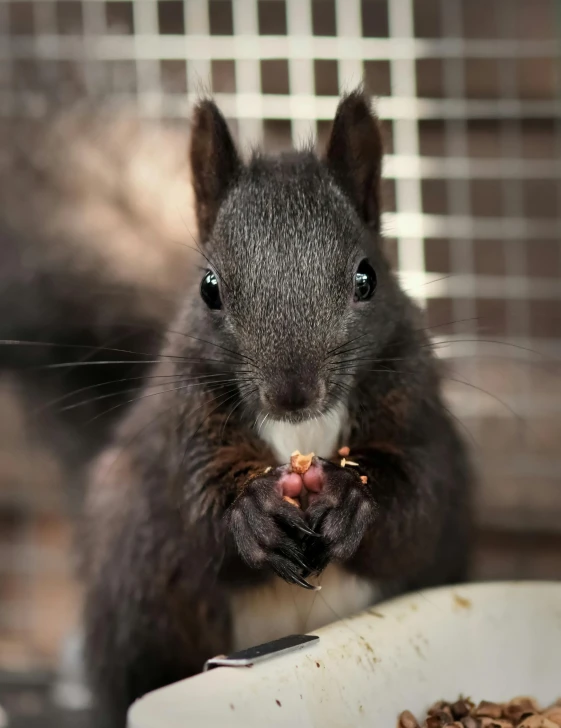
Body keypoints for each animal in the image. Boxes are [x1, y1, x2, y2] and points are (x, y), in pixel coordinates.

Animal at [81, 88, 470, 724]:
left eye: (367, 277)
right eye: (209, 287)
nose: (292, 394)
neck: (301, 434)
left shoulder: (415, 406)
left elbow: (418, 498)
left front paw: (349, 501)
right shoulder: (186, 418)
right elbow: (197, 499)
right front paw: (254, 514)